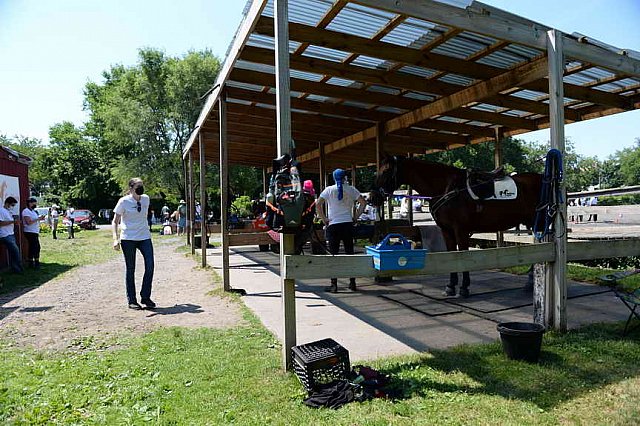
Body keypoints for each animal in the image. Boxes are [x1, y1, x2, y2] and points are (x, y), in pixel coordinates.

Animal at [368, 155, 544, 298]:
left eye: (386, 171)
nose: (372, 197)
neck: (447, 188)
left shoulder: (461, 231)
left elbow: (462, 255)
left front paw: (464, 288)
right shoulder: (447, 231)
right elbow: (452, 255)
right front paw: (451, 286)